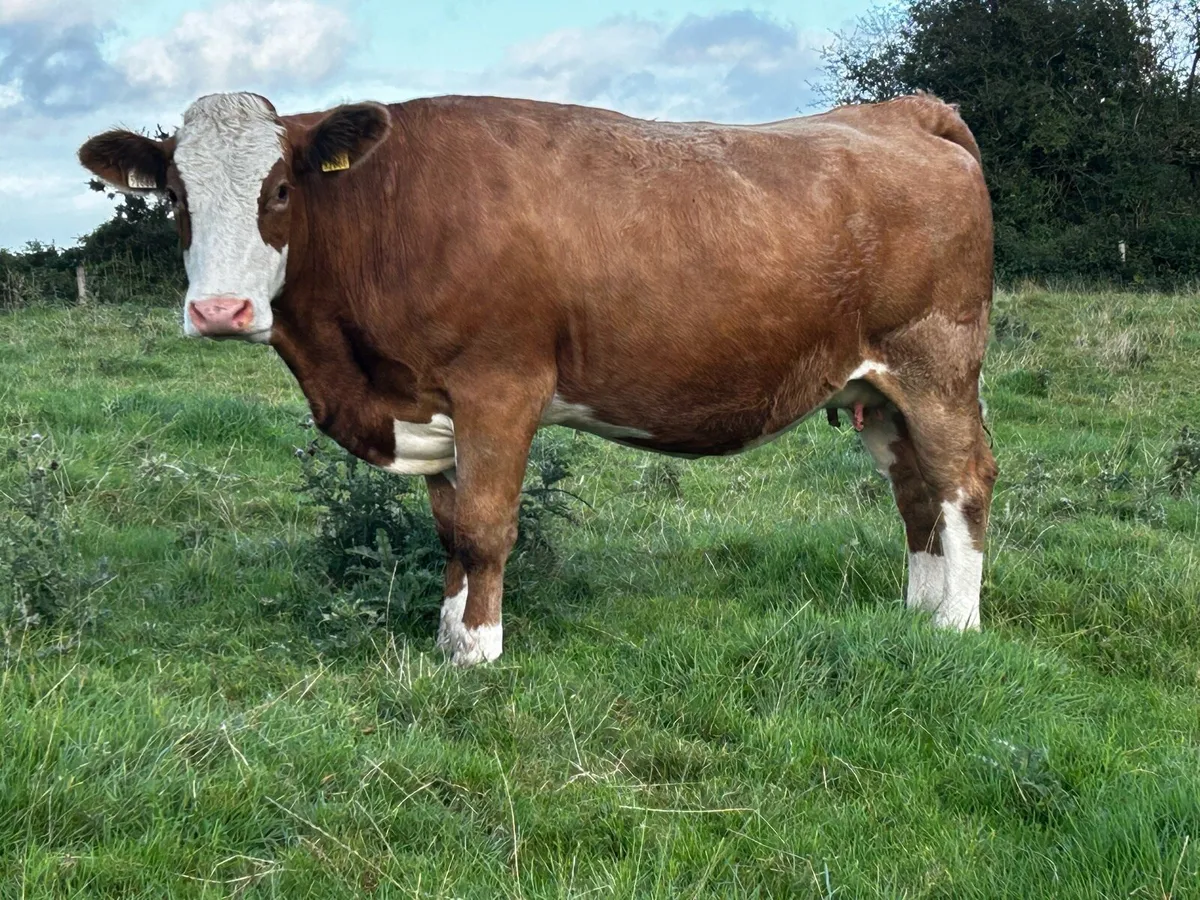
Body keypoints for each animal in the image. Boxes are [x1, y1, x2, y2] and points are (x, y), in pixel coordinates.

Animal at [78, 90, 997, 667]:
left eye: (277, 190)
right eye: (176, 197)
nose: (220, 310)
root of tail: (906, 113)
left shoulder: (498, 386)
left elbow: (487, 527)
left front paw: (479, 653)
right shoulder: (433, 401)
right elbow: (449, 530)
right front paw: (448, 633)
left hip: (937, 365)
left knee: (963, 480)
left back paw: (958, 622)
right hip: (876, 389)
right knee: (915, 493)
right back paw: (919, 609)